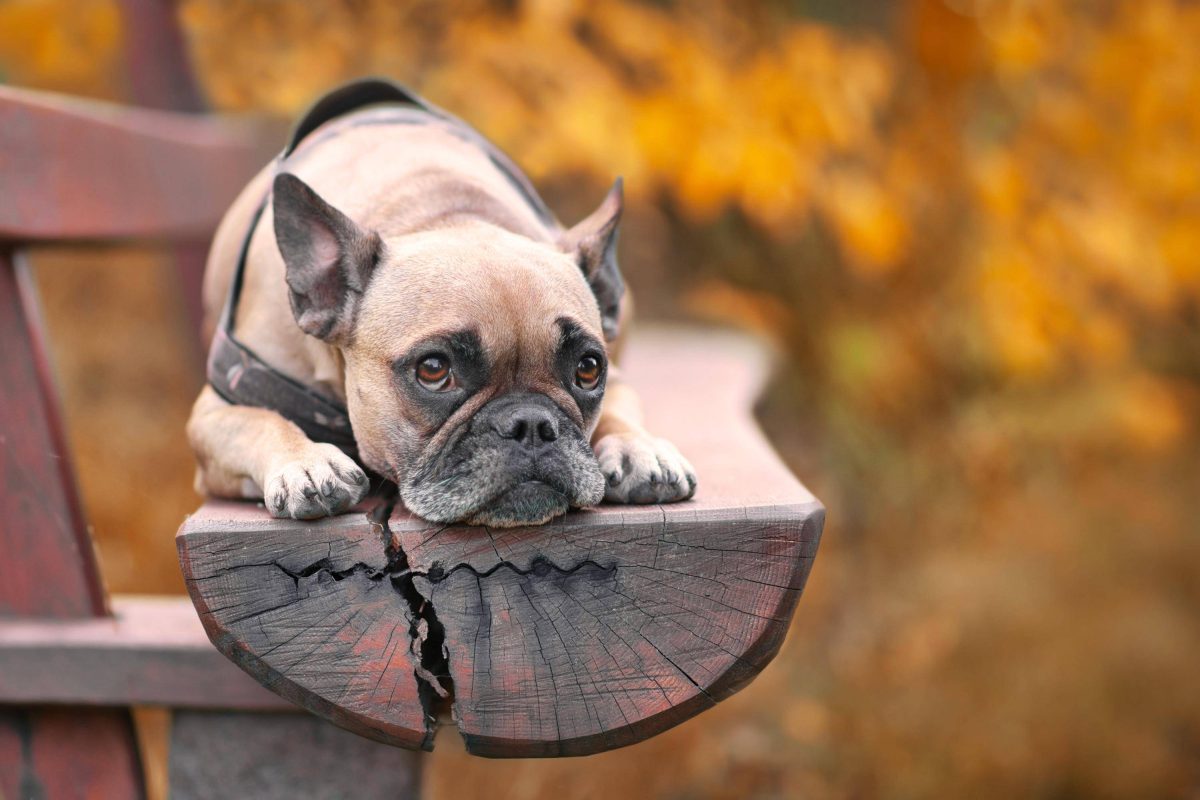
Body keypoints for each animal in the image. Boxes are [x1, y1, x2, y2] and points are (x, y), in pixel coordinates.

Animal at [186, 79, 696, 525]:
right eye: (434, 370)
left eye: (588, 369)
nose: (531, 424)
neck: (443, 214)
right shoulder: (215, 410)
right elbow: (257, 421)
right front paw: (307, 461)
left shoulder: (618, 376)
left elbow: (621, 408)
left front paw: (640, 449)